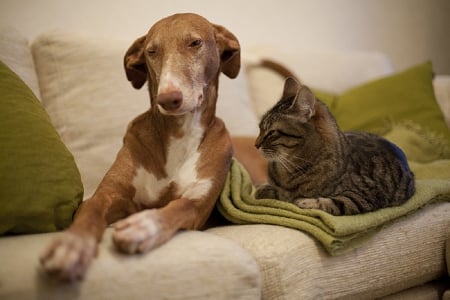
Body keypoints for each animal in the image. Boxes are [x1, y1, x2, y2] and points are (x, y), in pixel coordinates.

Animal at [40, 12, 241, 282]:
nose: (167, 99)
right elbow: (91, 209)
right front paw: (72, 244)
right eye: (151, 51)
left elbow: (177, 207)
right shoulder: (111, 193)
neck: (180, 132)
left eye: (195, 43)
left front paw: (145, 226)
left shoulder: (198, 206)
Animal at [255, 77, 416, 216]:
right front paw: (265, 189)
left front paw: (302, 201)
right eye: (260, 128)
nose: (255, 145)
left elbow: (330, 202)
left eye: (271, 132)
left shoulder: (362, 197)